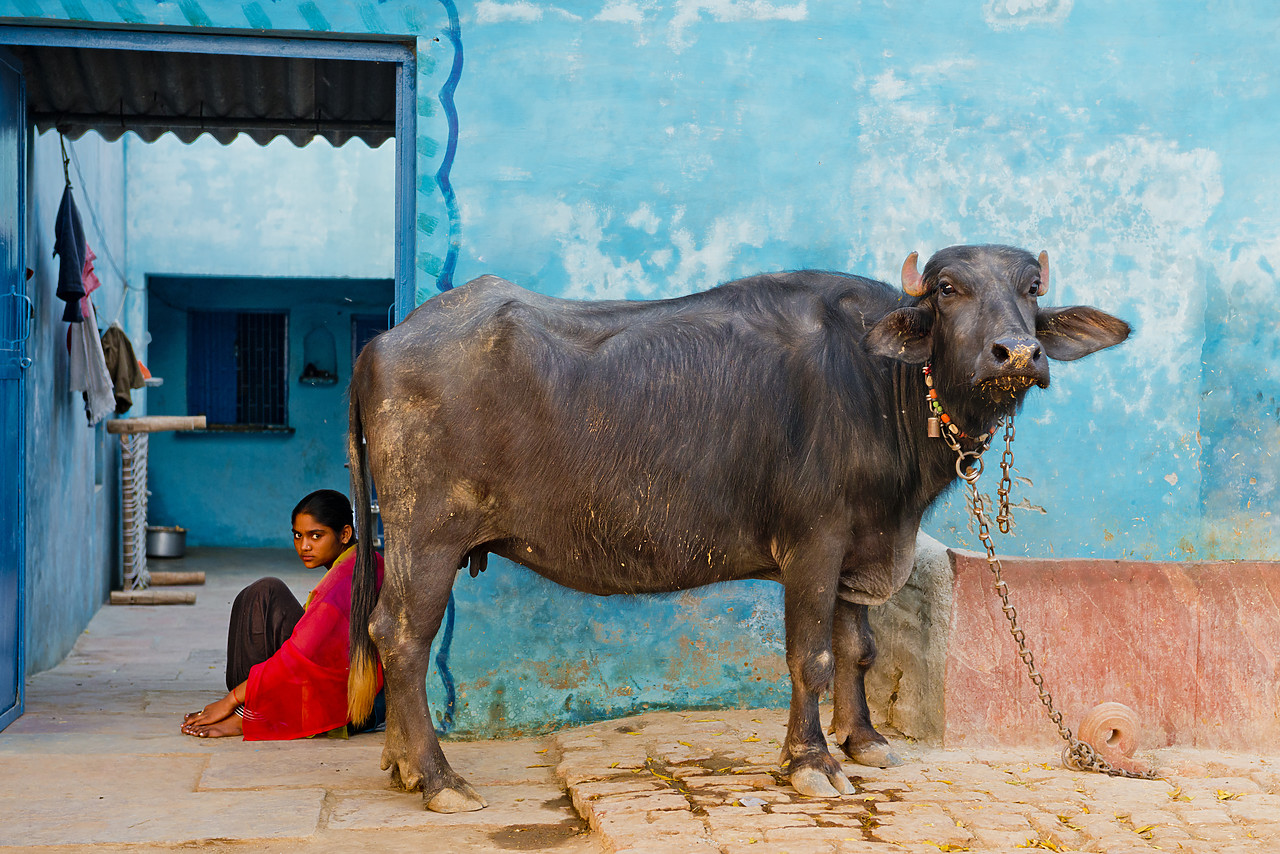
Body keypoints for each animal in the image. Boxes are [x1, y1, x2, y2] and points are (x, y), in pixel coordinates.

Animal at [343, 243, 1131, 814]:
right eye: (946, 290)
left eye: (1032, 287)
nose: (1017, 353)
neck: (884, 388)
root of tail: (384, 343)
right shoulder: (813, 544)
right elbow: (812, 657)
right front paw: (811, 763)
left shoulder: (859, 549)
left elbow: (860, 650)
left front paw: (864, 739)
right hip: (426, 537)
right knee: (401, 637)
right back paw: (439, 779)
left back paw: (400, 765)